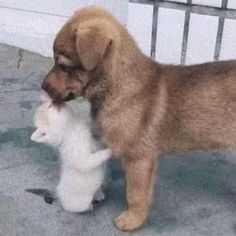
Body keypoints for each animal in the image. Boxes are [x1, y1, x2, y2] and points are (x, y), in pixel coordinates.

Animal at [41, 6, 236, 232]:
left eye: (64, 66)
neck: (117, 86)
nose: (43, 87)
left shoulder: (139, 158)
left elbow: (135, 193)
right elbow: (140, 190)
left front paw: (132, 220)